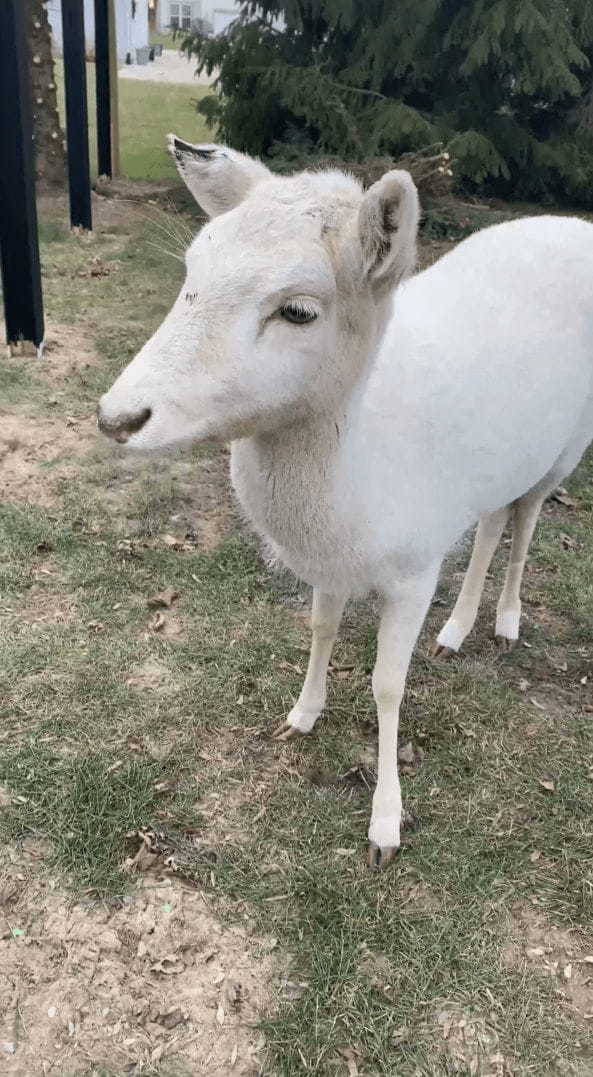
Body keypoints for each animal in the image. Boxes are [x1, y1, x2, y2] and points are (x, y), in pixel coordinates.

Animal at [99, 138, 593, 870]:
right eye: (192, 269)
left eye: (299, 310)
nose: (118, 417)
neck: (356, 489)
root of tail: (576, 226)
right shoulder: (329, 565)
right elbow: (320, 629)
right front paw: (300, 715)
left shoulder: (415, 567)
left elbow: (387, 683)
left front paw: (385, 825)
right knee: (491, 520)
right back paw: (456, 629)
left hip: (565, 448)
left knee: (526, 518)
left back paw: (504, 621)